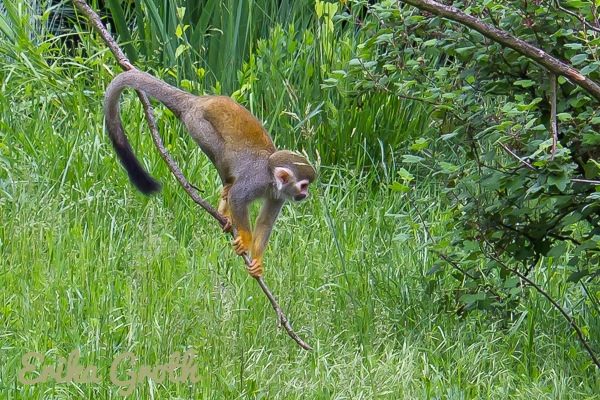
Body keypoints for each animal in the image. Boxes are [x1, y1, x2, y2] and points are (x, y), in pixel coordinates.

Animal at [104, 69, 318, 276]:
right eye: (303, 185)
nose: (305, 195)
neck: (271, 180)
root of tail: (197, 101)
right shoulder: (256, 180)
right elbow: (238, 198)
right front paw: (246, 239)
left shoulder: (278, 196)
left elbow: (265, 222)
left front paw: (257, 261)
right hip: (198, 125)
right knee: (222, 154)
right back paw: (226, 198)